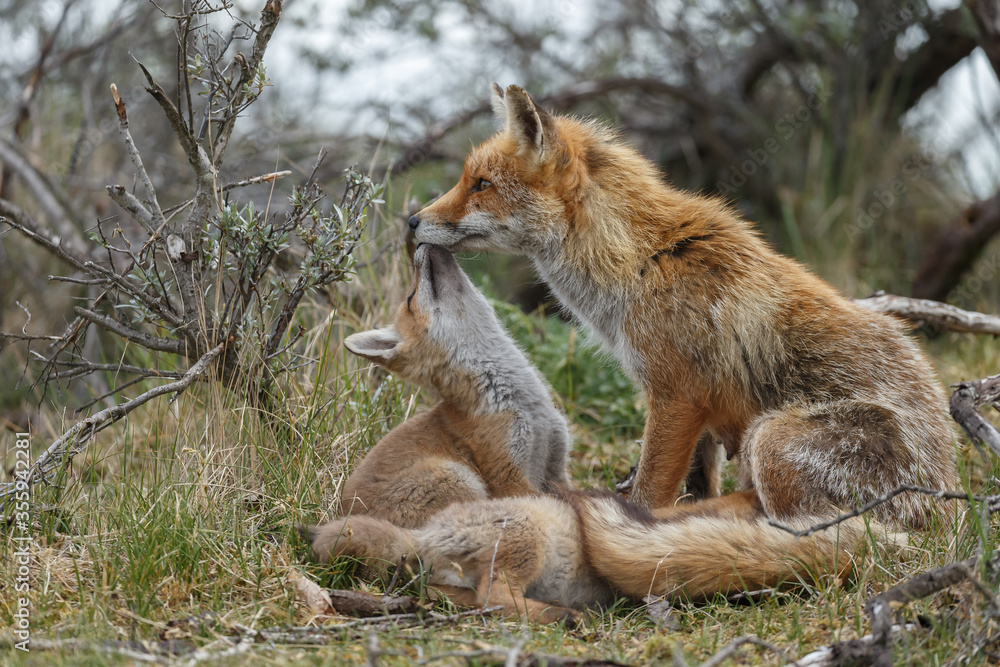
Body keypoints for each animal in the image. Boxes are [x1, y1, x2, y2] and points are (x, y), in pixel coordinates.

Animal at [336, 242, 570, 528]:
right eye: (411, 298)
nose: (419, 244)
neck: (530, 408)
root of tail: (341, 516)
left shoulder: (556, 466)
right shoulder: (508, 476)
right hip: (460, 477)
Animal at [407, 83, 957, 526]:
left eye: (482, 185)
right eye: (466, 178)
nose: (411, 220)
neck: (639, 263)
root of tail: (943, 507)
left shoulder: (675, 396)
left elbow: (650, 492)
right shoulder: (698, 410)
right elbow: (697, 480)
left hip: (770, 437)